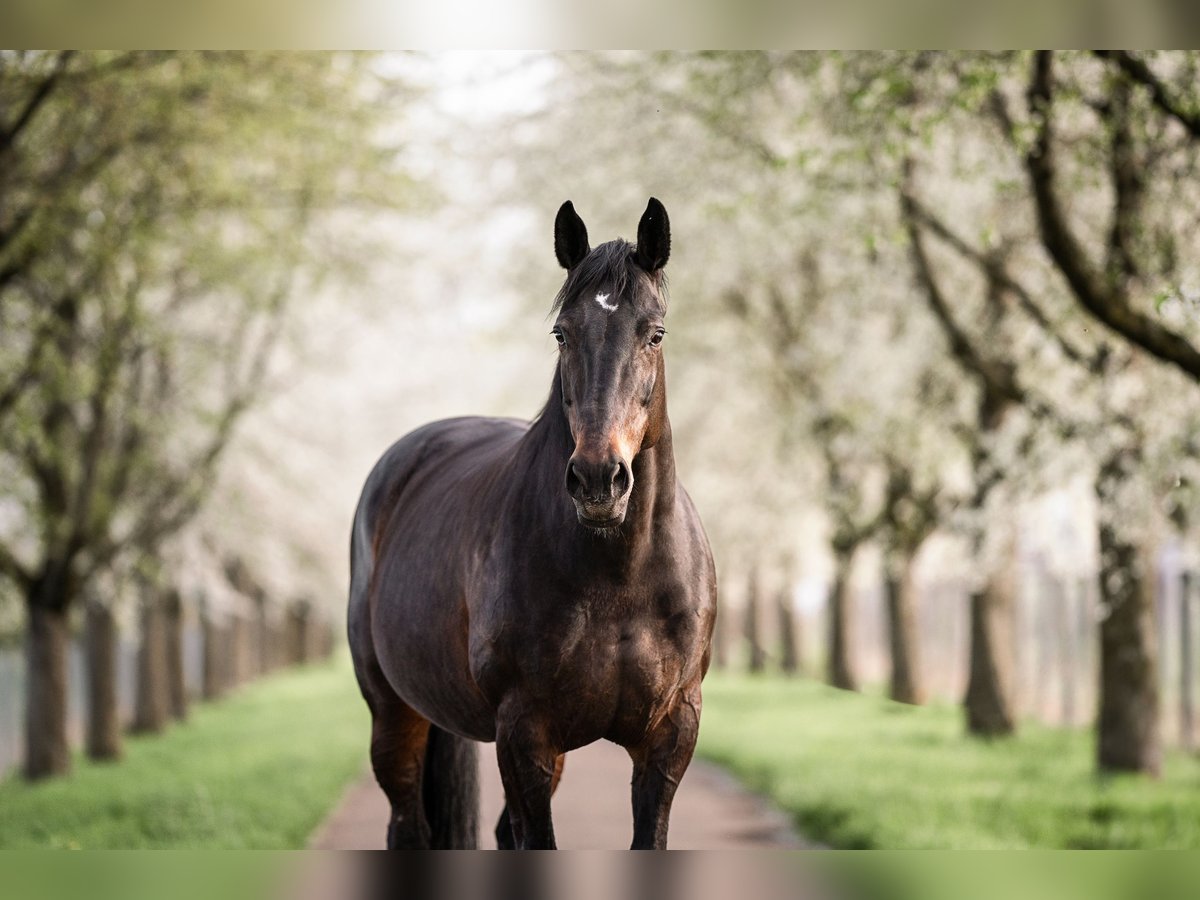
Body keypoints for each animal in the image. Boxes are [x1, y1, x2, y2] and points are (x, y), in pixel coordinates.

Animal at [350, 199, 715, 854]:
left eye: (655, 333)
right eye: (561, 332)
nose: (598, 478)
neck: (617, 575)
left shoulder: (670, 735)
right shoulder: (523, 733)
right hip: (394, 713)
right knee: (407, 825)